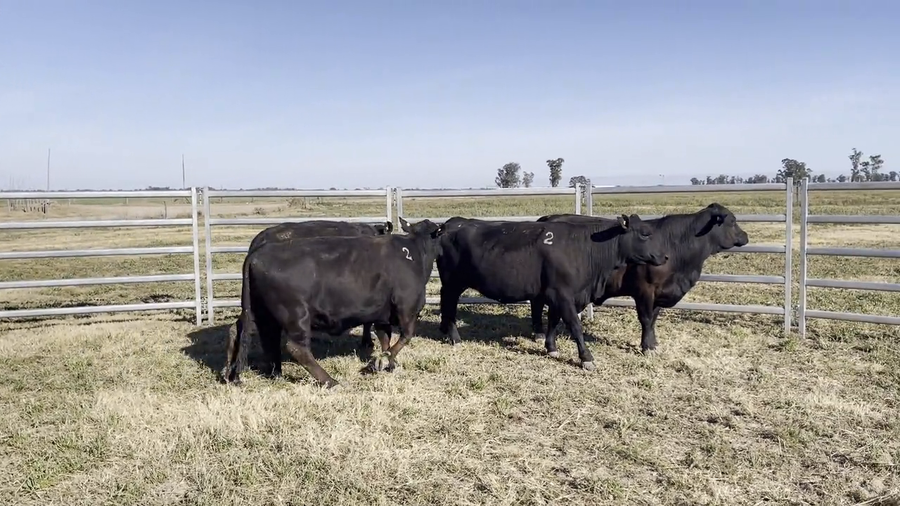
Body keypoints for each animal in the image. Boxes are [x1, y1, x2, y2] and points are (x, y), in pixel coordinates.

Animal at [221, 217, 446, 388]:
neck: (412, 253)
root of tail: (257, 253)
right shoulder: (407, 308)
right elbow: (404, 337)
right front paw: (382, 360)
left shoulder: (382, 314)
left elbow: (385, 339)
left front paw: (387, 363)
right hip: (295, 315)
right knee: (296, 348)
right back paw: (330, 381)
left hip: (259, 312)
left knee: (251, 334)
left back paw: (260, 373)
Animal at [435, 214, 669, 370]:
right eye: (645, 234)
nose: (665, 257)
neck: (584, 247)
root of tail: (451, 224)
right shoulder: (563, 295)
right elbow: (575, 325)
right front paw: (587, 358)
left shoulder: (558, 295)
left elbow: (554, 322)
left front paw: (551, 348)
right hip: (453, 282)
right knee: (449, 303)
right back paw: (454, 337)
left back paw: (445, 331)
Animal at [534, 203, 749, 354]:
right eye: (732, 221)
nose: (746, 236)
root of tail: (547, 218)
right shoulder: (645, 290)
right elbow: (645, 319)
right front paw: (646, 347)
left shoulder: (661, 292)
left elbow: (653, 319)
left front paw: (653, 344)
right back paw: (538, 333)